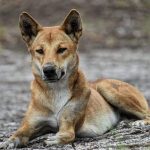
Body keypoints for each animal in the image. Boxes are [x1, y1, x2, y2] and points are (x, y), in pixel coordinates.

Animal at [0, 9, 149, 149]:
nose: (48, 70)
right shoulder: (31, 125)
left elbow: (68, 135)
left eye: (61, 49)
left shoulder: (68, 124)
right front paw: (8, 142)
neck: (55, 91)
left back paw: (141, 122)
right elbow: (18, 134)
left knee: (147, 113)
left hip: (107, 88)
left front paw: (54, 139)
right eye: (39, 51)